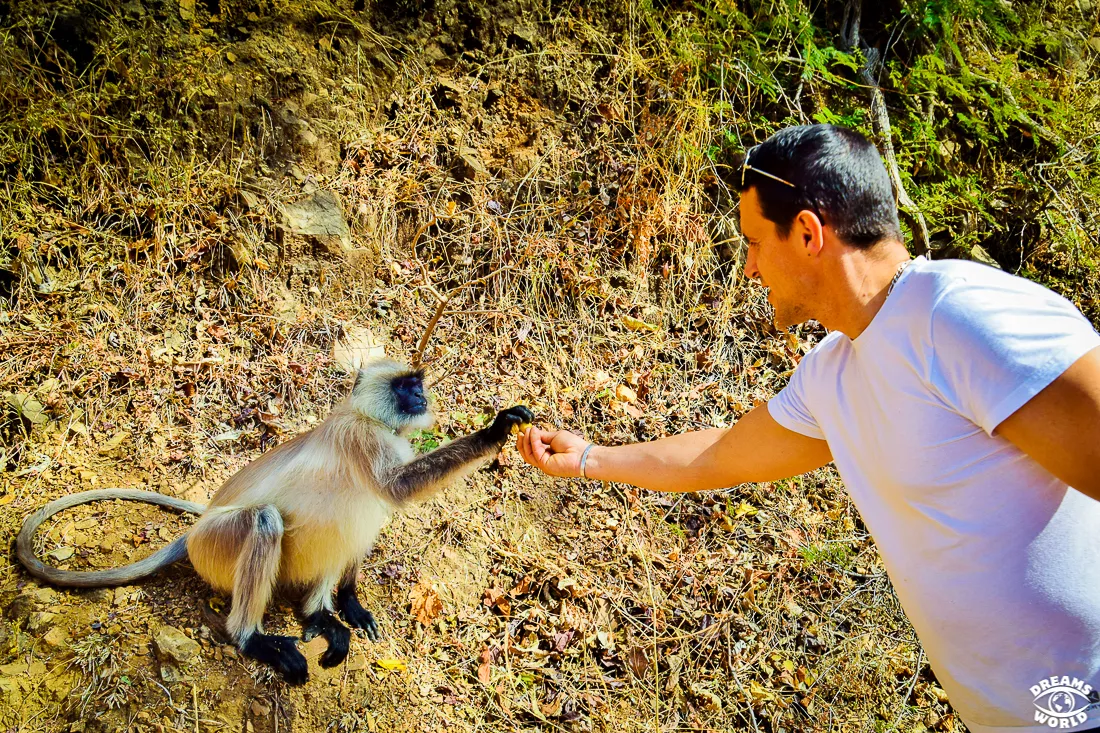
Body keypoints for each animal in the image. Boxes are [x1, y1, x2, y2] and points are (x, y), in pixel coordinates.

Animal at [16, 357, 534, 685]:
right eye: (405, 386)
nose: (421, 394)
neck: (369, 419)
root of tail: (195, 530)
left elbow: (379, 508)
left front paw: (349, 602)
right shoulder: (360, 437)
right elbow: (396, 489)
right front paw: (497, 430)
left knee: (354, 522)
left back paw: (321, 614)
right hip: (215, 546)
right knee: (268, 520)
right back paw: (253, 640)